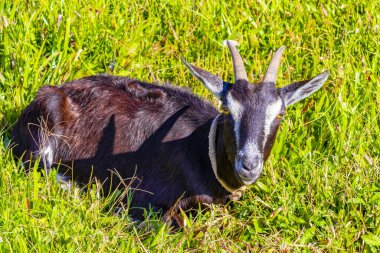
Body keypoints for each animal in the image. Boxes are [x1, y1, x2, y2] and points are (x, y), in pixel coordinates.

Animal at [10, 41, 328, 225]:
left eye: (280, 114)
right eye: (227, 109)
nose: (248, 164)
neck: (202, 153)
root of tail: (52, 91)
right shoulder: (144, 200)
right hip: (43, 135)